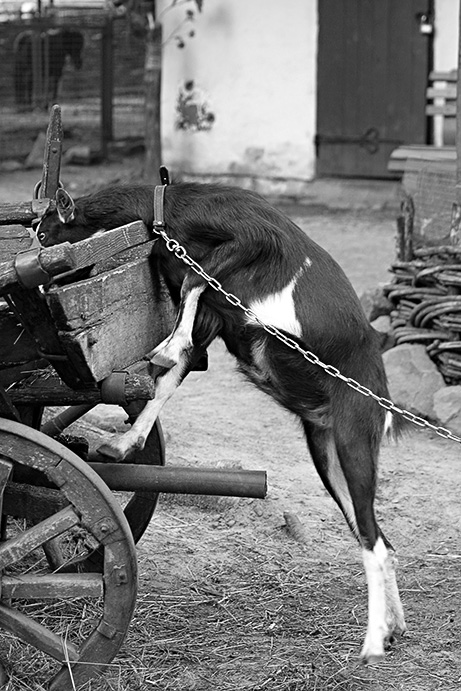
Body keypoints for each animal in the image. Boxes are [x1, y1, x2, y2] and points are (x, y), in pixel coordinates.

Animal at [36, 181, 404, 664]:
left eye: (45, 233)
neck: (169, 211)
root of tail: (382, 395)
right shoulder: (212, 315)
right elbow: (170, 376)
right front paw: (125, 442)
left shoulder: (250, 237)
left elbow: (195, 283)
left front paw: (164, 348)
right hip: (324, 449)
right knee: (376, 537)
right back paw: (395, 628)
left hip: (354, 437)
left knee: (375, 544)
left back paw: (373, 642)